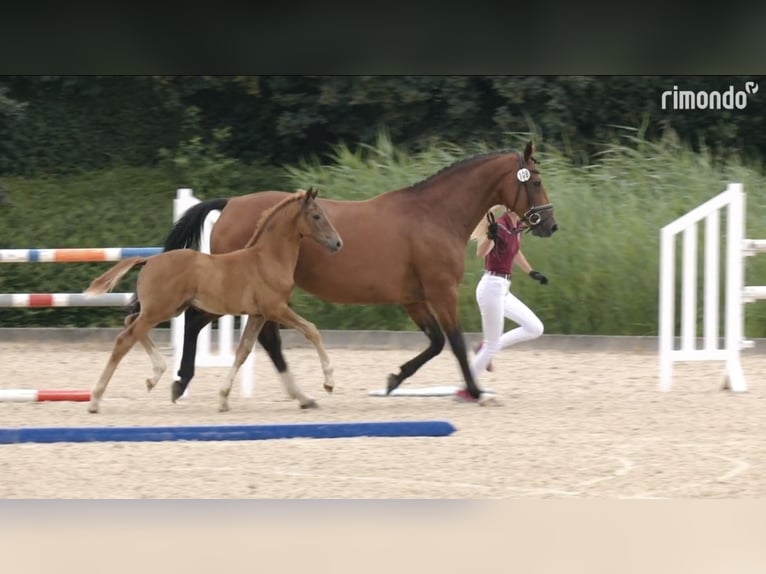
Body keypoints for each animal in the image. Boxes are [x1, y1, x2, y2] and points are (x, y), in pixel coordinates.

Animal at [84, 187, 343, 413]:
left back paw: (155, 376)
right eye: (316, 215)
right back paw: (95, 400)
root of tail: (148, 260)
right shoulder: (276, 309)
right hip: (159, 310)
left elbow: (243, 351)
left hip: (164, 310)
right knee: (124, 339)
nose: (337, 243)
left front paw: (223, 399)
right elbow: (312, 330)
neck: (266, 259)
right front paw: (329, 383)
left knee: (130, 323)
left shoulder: (258, 314)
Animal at [160, 141, 557, 406]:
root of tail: (231, 204)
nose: (550, 225)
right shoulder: (441, 291)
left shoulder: (413, 298)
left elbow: (435, 342)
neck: (434, 215)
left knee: (261, 338)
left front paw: (394, 379)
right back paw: (183, 382)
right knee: (202, 321)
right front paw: (475, 391)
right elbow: (456, 342)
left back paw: (296, 393)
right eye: (536, 181)